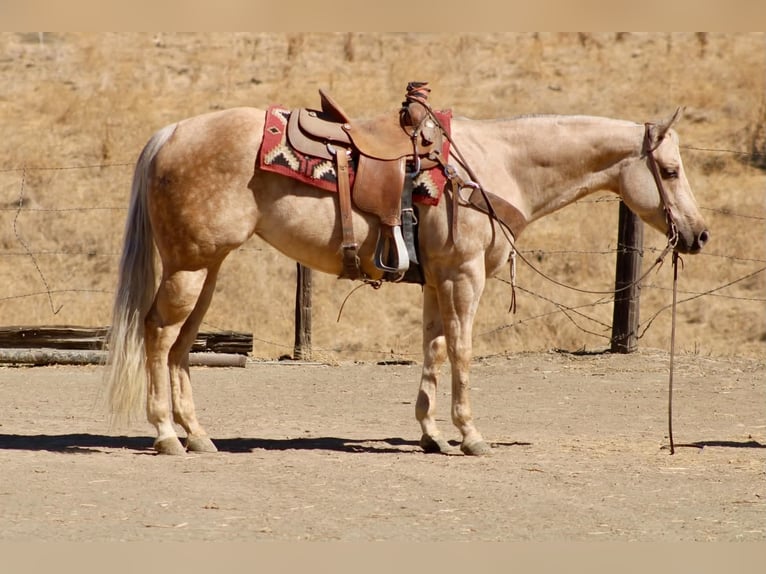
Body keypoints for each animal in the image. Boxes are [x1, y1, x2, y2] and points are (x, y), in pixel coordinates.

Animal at [104, 103, 709, 456]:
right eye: (671, 170)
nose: (699, 234)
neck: (493, 167)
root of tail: (171, 134)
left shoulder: (437, 280)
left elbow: (434, 349)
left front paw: (432, 433)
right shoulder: (464, 276)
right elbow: (462, 350)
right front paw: (470, 436)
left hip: (207, 269)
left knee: (182, 344)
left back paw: (198, 436)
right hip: (189, 267)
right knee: (157, 334)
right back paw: (165, 435)